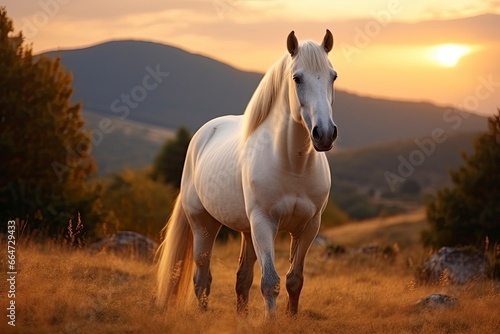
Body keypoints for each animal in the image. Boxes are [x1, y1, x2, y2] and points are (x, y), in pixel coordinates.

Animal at [157, 30, 336, 320]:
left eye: (333, 76)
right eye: (297, 78)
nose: (325, 134)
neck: (293, 166)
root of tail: (203, 134)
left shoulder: (308, 227)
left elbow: (294, 280)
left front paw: (291, 319)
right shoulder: (264, 223)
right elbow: (270, 282)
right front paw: (271, 322)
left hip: (247, 230)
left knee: (242, 278)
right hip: (204, 225)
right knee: (202, 278)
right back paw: (204, 315)